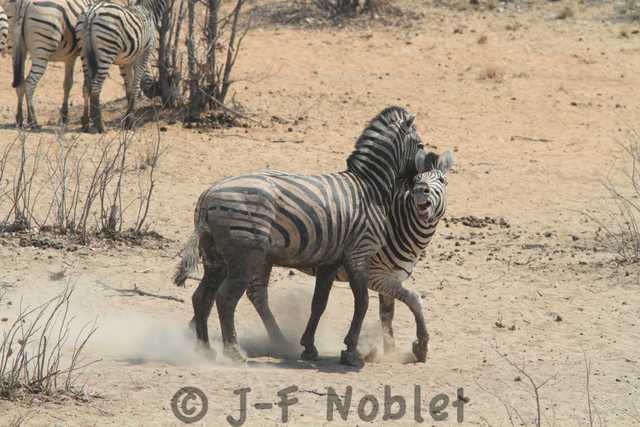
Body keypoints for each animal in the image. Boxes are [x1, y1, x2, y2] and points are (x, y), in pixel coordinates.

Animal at [11, 0, 91, 129]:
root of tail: (26, 3)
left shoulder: (70, 57)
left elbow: (68, 84)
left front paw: (64, 116)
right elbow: (86, 85)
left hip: (19, 48)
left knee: (21, 84)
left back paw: (20, 118)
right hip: (42, 50)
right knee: (30, 83)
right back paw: (33, 122)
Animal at [79, 0, 170, 133]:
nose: (156, 91)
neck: (150, 12)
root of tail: (92, 13)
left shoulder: (125, 61)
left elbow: (129, 89)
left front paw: (128, 119)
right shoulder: (145, 52)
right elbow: (135, 86)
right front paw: (130, 122)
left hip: (83, 51)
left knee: (86, 86)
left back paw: (86, 123)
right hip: (107, 50)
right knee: (96, 86)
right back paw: (100, 125)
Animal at [173, 106, 437, 366]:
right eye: (421, 145)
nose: (423, 182)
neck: (371, 188)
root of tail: (208, 193)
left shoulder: (331, 260)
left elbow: (319, 303)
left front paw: (309, 347)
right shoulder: (359, 253)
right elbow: (362, 303)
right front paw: (350, 352)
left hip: (215, 258)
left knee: (202, 297)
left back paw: (205, 350)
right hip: (244, 257)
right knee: (226, 299)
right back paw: (234, 353)